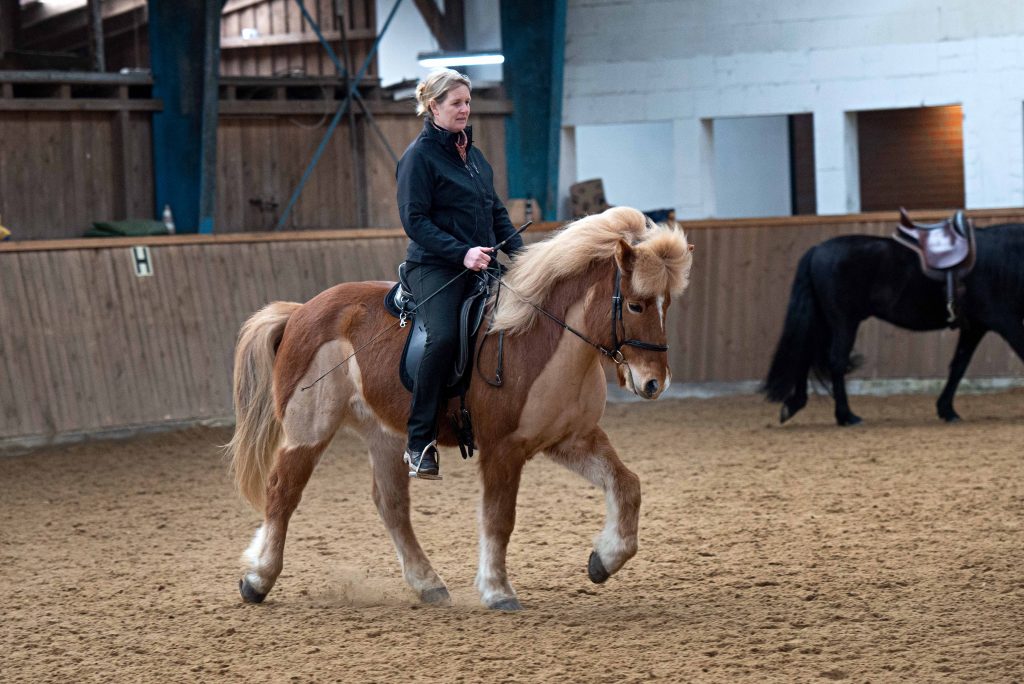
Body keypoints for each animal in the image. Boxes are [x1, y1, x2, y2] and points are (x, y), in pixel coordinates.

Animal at [227, 206, 692, 610]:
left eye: (667, 304)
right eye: (635, 303)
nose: (654, 383)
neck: (539, 339)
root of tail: (300, 312)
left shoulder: (571, 440)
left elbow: (627, 485)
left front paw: (603, 561)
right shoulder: (503, 449)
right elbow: (498, 518)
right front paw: (497, 591)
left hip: (386, 434)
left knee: (391, 505)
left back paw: (428, 584)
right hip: (308, 431)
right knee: (282, 492)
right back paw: (257, 579)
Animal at [765, 219, 1024, 423]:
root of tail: (817, 249)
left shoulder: (976, 327)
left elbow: (959, 365)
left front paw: (947, 410)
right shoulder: (1003, 323)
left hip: (824, 321)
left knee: (804, 354)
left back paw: (794, 405)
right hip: (843, 322)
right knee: (835, 361)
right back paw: (846, 416)